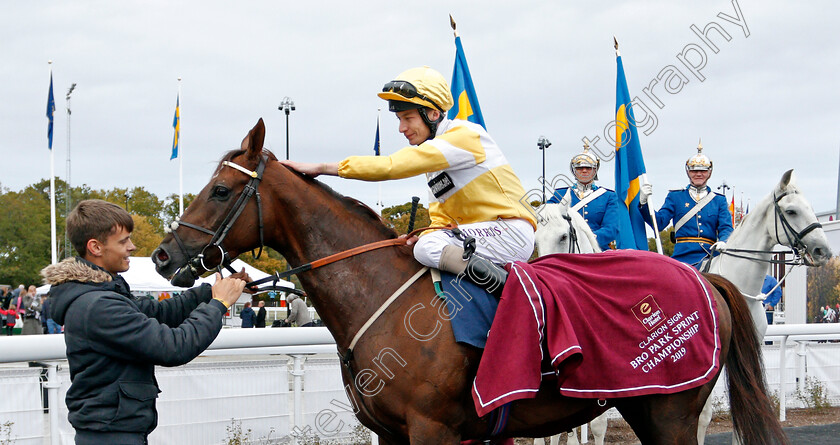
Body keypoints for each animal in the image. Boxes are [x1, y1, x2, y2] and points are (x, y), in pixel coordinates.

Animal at [151, 119, 788, 444]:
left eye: (222, 190)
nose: (161, 256)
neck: (379, 295)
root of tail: (706, 283)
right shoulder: (394, 435)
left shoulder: (433, 431)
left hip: (672, 411)